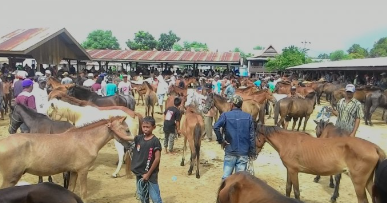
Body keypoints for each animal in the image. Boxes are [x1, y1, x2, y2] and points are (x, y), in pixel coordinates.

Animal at [0, 116, 133, 202]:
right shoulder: (83, 171)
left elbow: (71, 190)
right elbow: (83, 193)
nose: (132, 145)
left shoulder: (74, 172)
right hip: (10, 179)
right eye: (127, 130)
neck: (85, 140)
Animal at [256, 123, 386, 203]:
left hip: (358, 182)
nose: (253, 155)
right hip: (368, 181)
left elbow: (296, 192)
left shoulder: (293, 171)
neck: (288, 142)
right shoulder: (289, 170)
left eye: (253, 136)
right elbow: (288, 188)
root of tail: (374, 147)